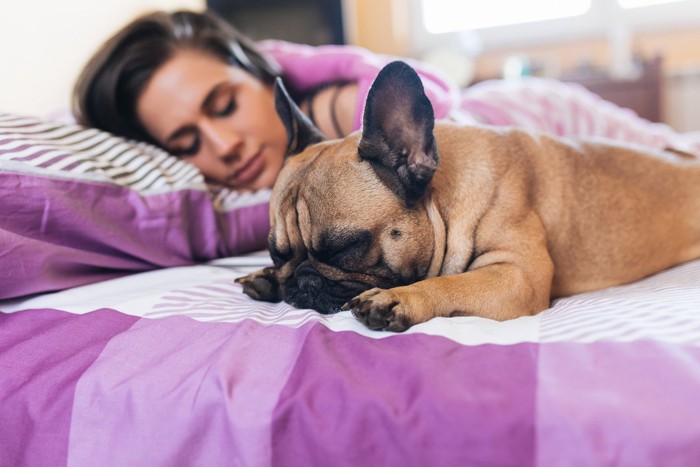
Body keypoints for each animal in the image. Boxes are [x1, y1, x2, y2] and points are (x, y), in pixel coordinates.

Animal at [237, 61, 700, 332]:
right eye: (277, 253)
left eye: (347, 248)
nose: (299, 280)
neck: (444, 201)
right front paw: (267, 278)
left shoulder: (517, 276)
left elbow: (453, 282)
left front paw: (403, 298)